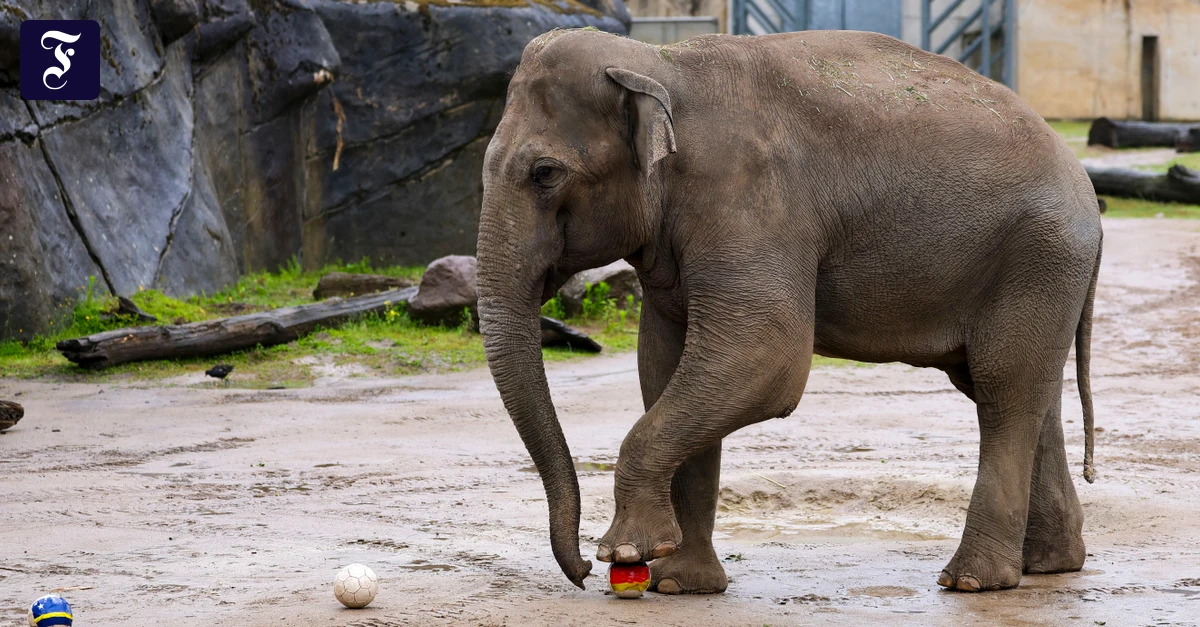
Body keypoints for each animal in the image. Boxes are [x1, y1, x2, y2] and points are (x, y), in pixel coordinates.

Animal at [476, 28, 1102, 595]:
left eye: (545, 173)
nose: (581, 570)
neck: (661, 62)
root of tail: (1086, 188)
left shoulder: (752, 202)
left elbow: (763, 359)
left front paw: (629, 552)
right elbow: (663, 367)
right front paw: (680, 585)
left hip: (1038, 257)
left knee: (1004, 391)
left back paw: (972, 581)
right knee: (1025, 391)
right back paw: (1049, 564)